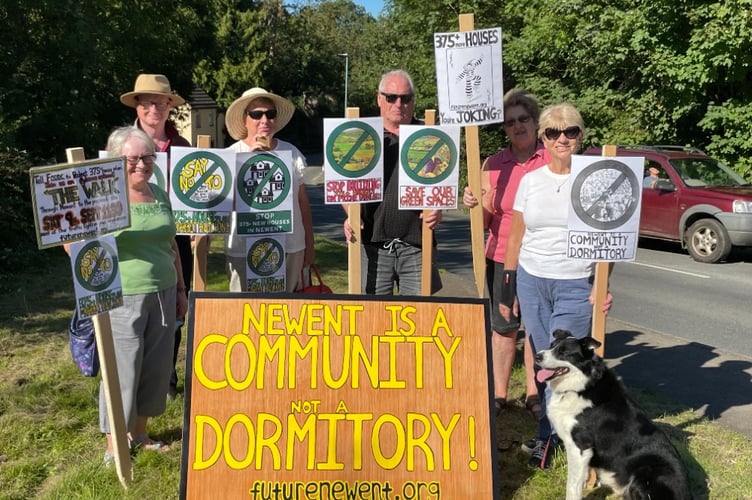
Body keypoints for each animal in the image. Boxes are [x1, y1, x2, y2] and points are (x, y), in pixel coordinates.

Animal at [536, 330, 692, 498]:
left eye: (563, 352)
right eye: (551, 345)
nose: (537, 356)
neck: (582, 386)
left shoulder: (580, 447)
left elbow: (572, 486)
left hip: (644, 476)